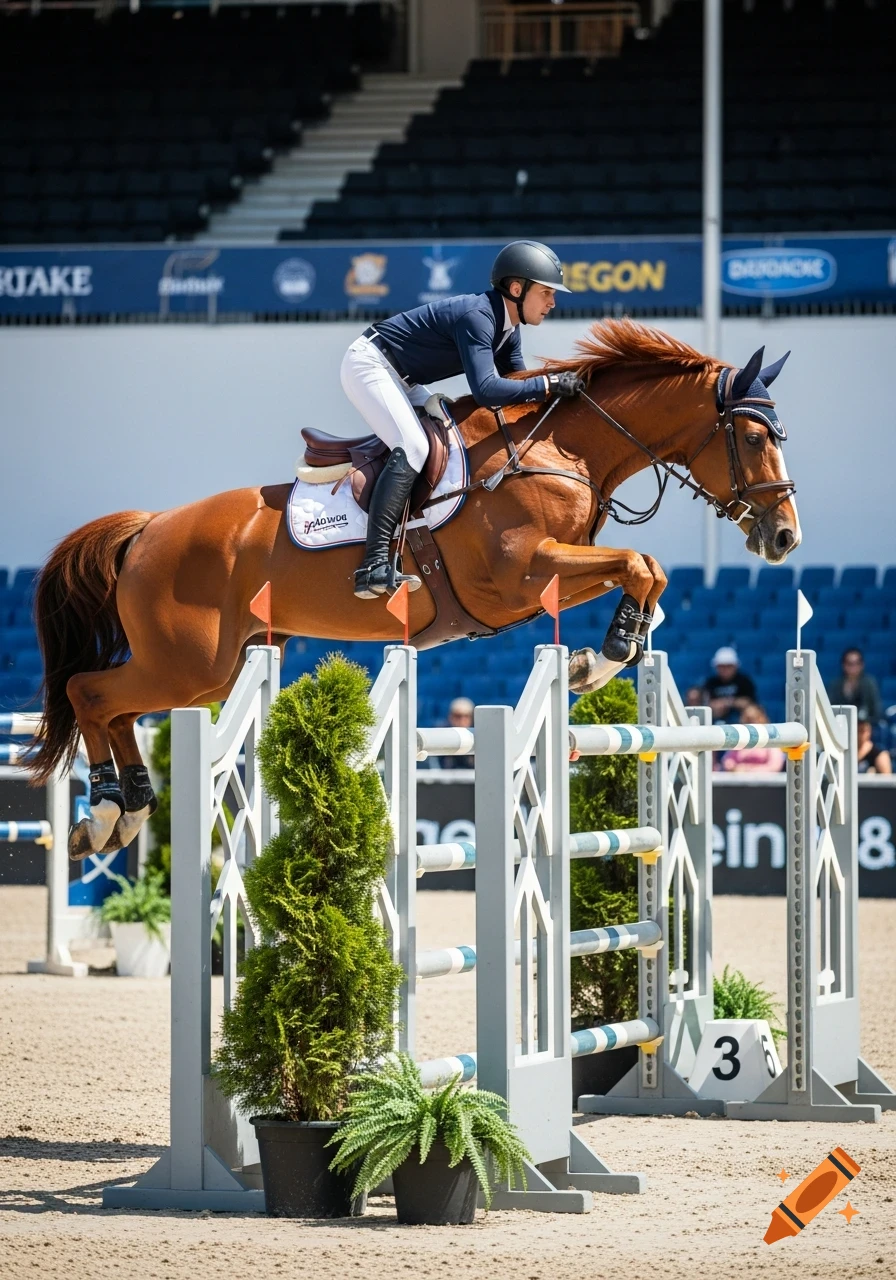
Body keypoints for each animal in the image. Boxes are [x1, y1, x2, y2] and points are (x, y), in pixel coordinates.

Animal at [29, 318, 800, 860]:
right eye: (754, 437)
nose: (785, 537)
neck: (564, 450)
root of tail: (149, 527)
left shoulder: (554, 573)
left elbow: (649, 570)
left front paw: (603, 654)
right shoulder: (521, 576)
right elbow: (640, 563)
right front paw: (603, 655)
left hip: (207, 670)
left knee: (116, 708)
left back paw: (123, 812)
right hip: (190, 664)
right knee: (90, 693)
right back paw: (105, 812)